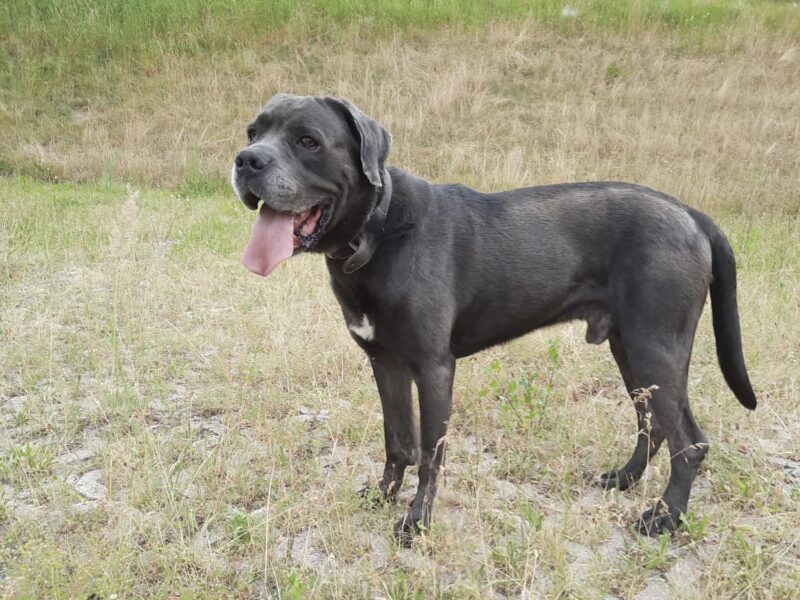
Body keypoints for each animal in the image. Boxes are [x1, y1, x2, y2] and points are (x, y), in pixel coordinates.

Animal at [231, 93, 756, 544]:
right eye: (253, 131)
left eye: (308, 141)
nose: (245, 160)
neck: (378, 232)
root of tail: (691, 213)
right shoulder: (385, 363)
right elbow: (398, 441)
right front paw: (382, 498)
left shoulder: (434, 367)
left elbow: (430, 452)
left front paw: (417, 521)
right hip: (629, 348)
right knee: (653, 425)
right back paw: (624, 479)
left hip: (656, 348)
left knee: (689, 442)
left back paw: (665, 518)